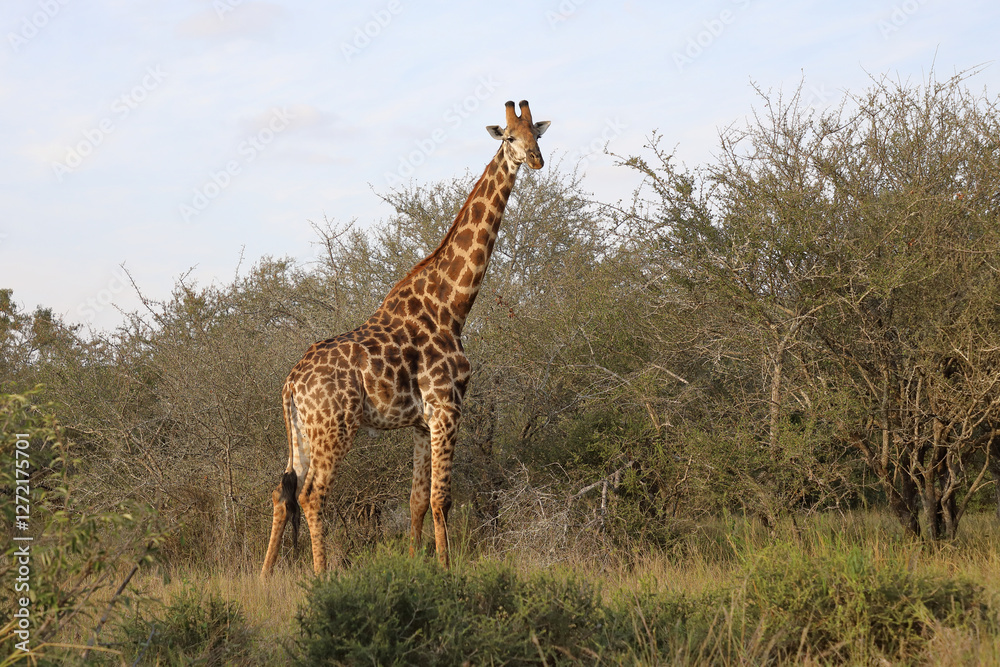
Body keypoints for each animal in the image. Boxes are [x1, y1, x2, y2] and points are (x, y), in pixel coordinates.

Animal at [261, 100, 550, 576]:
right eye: (509, 137)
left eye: (538, 135)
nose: (535, 160)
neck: (452, 306)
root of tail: (289, 384)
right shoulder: (448, 409)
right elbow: (441, 499)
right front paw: (446, 568)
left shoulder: (420, 421)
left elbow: (416, 501)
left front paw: (418, 563)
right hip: (334, 428)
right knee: (311, 495)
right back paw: (320, 576)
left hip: (302, 431)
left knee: (282, 493)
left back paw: (266, 576)